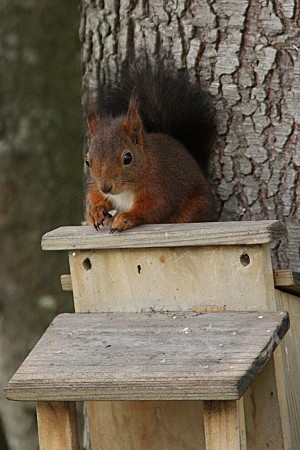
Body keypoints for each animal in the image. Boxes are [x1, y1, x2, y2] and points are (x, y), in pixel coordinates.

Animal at [85, 59, 217, 232]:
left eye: (127, 158)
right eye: (87, 161)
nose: (106, 187)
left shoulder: (161, 185)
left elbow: (156, 207)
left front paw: (126, 218)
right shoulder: (95, 185)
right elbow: (93, 194)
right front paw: (96, 211)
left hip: (195, 209)